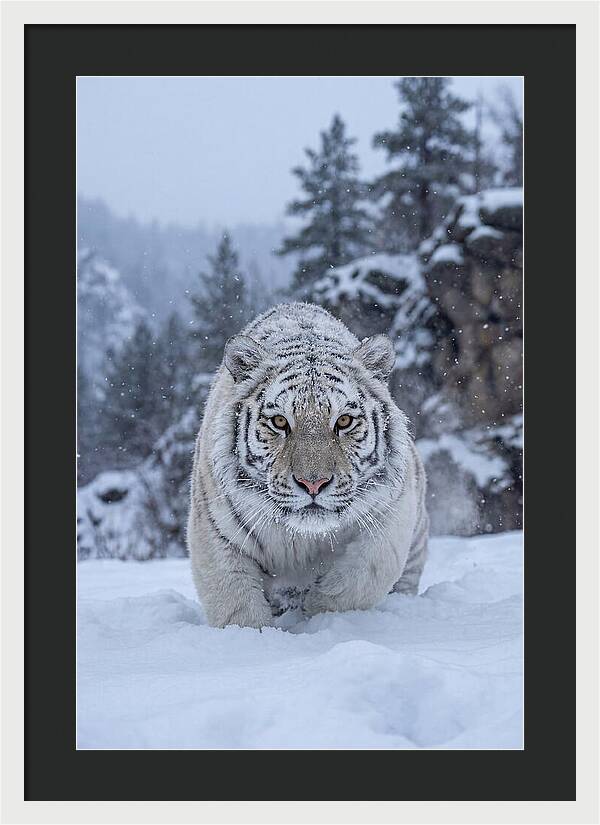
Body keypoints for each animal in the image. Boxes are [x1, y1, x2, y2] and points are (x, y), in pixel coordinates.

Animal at [188, 302, 428, 629]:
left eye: (344, 421)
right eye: (279, 422)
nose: (313, 483)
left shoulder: (391, 514)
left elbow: (360, 578)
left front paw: (319, 612)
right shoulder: (215, 531)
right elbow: (236, 604)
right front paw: (254, 635)